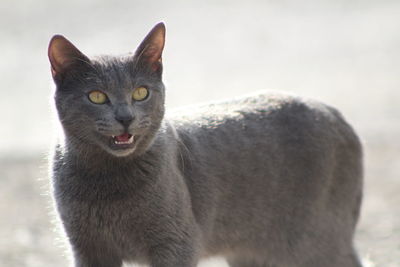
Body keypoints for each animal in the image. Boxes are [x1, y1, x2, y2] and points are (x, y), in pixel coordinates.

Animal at [47, 23, 362, 267]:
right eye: (97, 96)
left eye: (140, 93)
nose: (126, 117)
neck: (105, 181)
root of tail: (335, 113)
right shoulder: (88, 247)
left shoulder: (176, 243)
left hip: (315, 242)